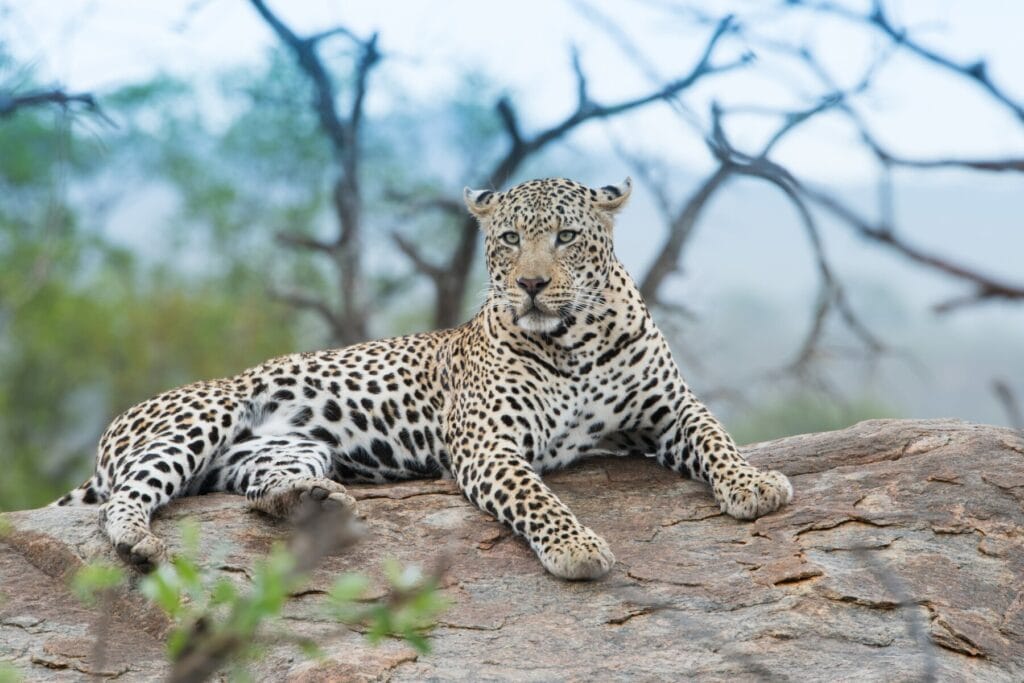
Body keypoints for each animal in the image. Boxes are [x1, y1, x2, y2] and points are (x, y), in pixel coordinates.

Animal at [54, 175, 790, 577]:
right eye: (508, 239)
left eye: (566, 237)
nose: (529, 285)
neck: (575, 341)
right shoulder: (489, 443)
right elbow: (537, 497)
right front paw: (576, 546)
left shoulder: (668, 410)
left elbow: (716, 436)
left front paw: (755, 483)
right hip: (201, 419)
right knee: (126, 498)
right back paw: (140, 541)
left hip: (281, 450)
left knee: (257, 493)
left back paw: (315, 503)